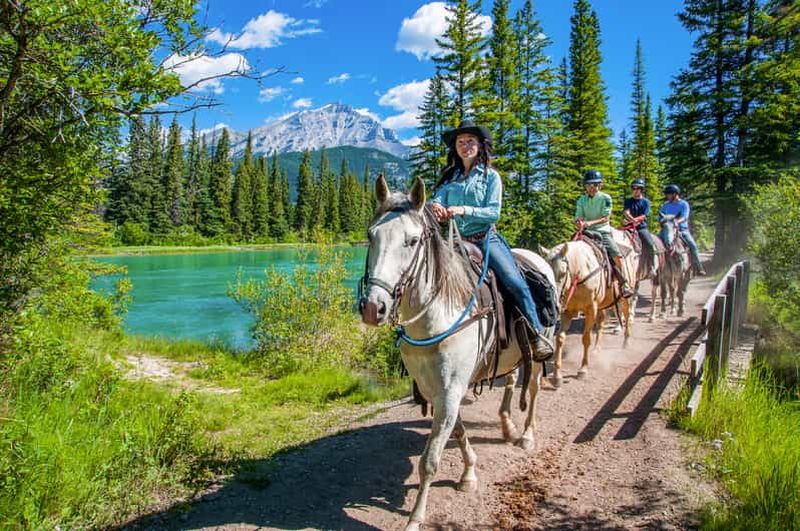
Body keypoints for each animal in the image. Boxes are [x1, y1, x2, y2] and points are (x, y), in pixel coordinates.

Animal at [359, 175, 557, 531]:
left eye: (412, 241)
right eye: (371, 235)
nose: (372, 307)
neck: (437, 315)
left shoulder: (451, 390)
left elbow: (430, 459)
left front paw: (415, 518)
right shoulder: (437, 388)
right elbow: (459, 430)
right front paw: (469, 475)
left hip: (539, 352)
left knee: (533, 390)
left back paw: (526, 436)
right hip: (510, 355)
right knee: (510, 383)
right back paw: (507, 428)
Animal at [541, 230, 638, 387]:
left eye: (562, 273)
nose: (553, 300)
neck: (581, 271)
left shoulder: (591, 309)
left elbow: (586, 338)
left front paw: (583, 370)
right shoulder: (568, 311)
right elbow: (560, 338)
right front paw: (557, 376)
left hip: (624, 299)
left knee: (627, 316)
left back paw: (626, 343)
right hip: (602, 305)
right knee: (601, 323)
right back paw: (597, 350)